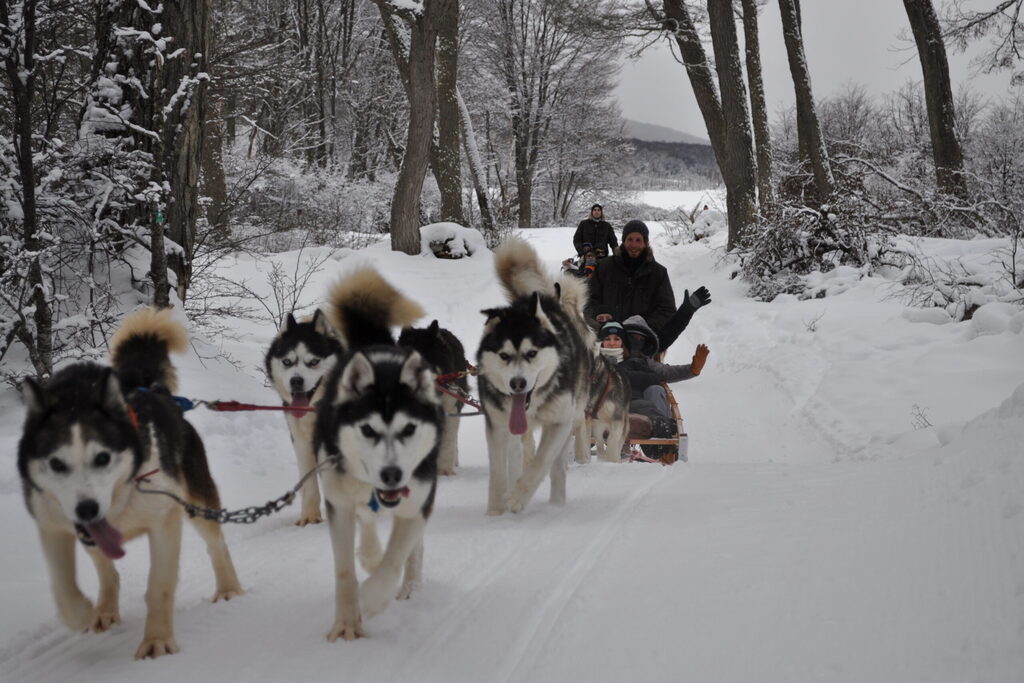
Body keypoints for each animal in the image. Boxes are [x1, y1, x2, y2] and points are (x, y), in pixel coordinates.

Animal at [18, 309, 241, 655]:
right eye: (56, 463)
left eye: (102, 458)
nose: (86, 509)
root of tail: (148, 388)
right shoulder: (52, 526)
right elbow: (63, 588)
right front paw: (82, 613)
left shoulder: (164, 520)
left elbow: (159, 585)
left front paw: (157, 640)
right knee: (107, 571)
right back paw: (104, 610)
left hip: (196, 505)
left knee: (216, 544)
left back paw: (229, 588)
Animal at [266, 313, 342, 528]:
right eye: (287, 361)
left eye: (314, 361)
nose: (296, 381)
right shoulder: (301, 442)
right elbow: (309, 483)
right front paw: (309, 517)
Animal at [311, 268, 440, 643]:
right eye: (367, 430)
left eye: (409, 429)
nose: (392, 475)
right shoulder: (337, 503)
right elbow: (344, 572)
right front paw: (346, 620)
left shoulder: (418, 502)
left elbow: (394, 562)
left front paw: (370, 598)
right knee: (366, 519)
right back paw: (369, 553)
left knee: (410, 550)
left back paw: (410, 583)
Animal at [475, 239, 589, 511]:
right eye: (504, 356)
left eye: (532, 353)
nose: (518, 383)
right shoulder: (498, 425)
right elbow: (499, 472)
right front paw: (496, 510)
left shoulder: (560, 421)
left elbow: (541, 463)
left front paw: (518, 498)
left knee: (556, 466)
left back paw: (556, 503)